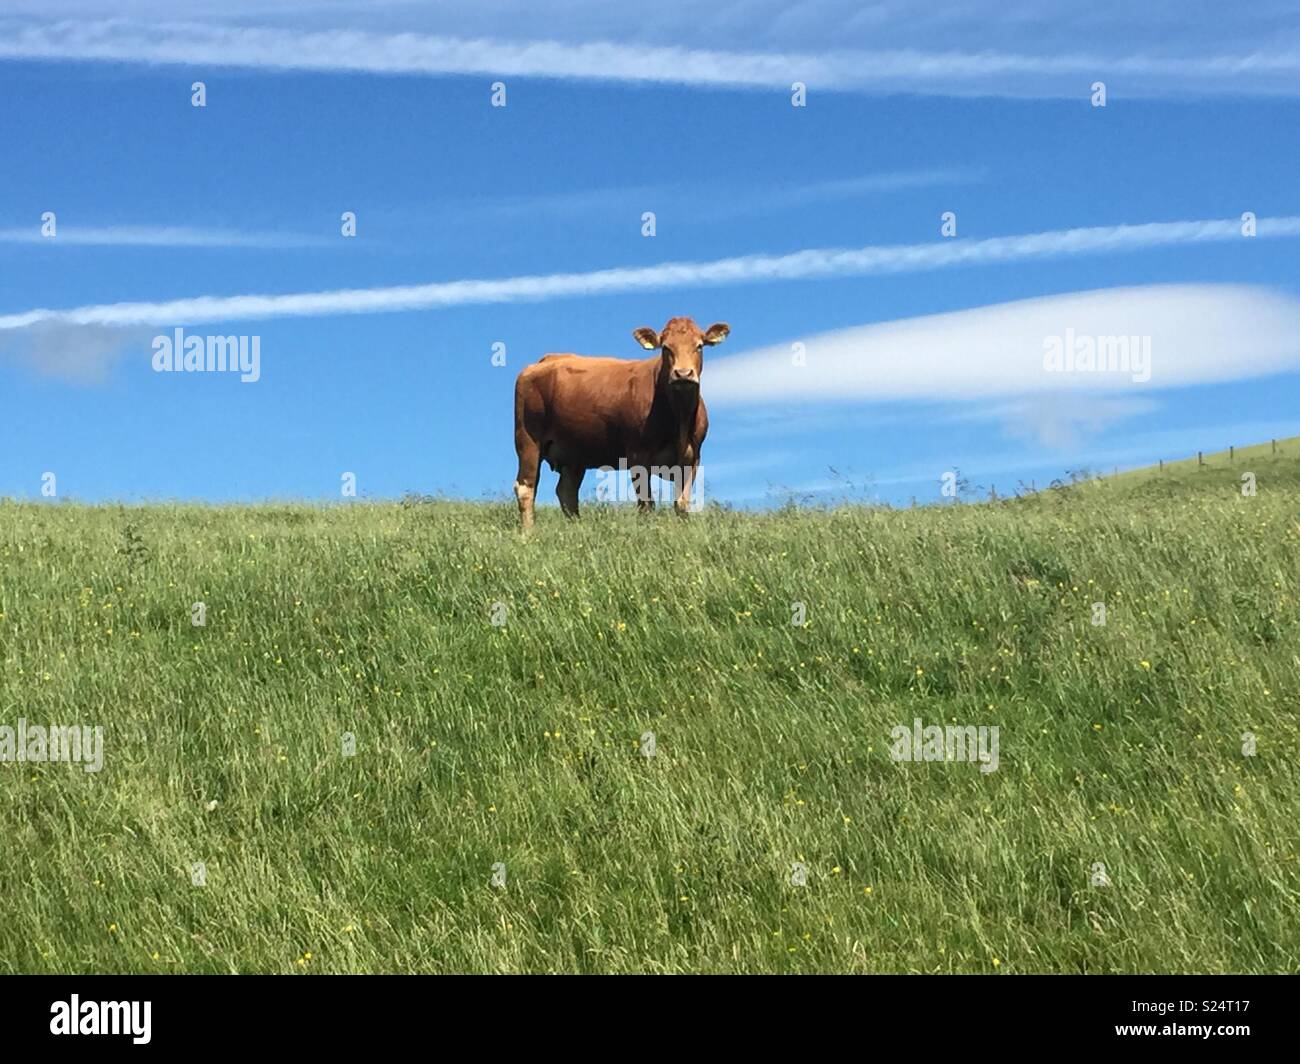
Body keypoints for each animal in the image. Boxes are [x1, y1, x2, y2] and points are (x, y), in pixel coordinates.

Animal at [512, 316, 730, 530]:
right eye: (666, 348)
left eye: (699, 346)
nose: (683, 374)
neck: (680, 419)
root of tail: (543, 361)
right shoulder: (637, 454)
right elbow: (646, 504)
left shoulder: (692, 458)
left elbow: (682, 504)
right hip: (528, 439)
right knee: (526, 488)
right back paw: (528, 534)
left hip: (573, 453)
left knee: (567, 492)